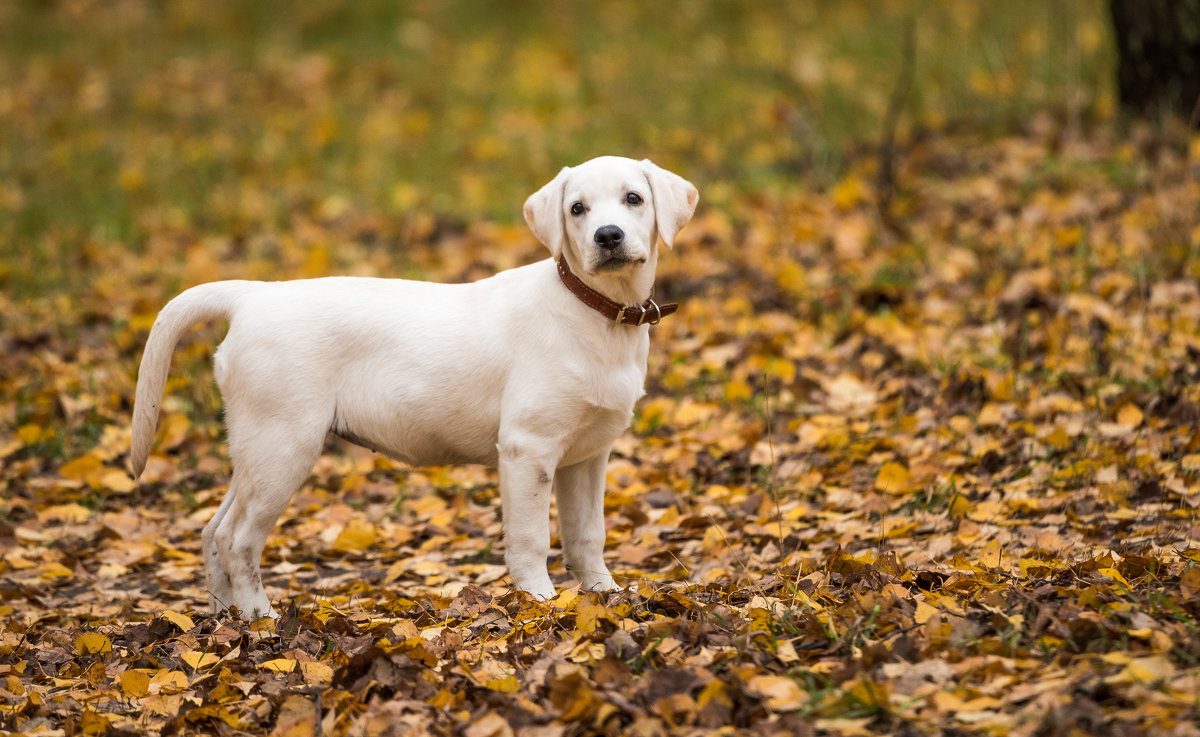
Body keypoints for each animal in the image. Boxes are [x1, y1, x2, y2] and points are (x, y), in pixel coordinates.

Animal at [127, 156, 700, 619]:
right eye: (577, 209)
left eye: (634, 198)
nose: (607, 236)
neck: (598, 313)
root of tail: (252, 296)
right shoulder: (527, 448)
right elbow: (531, 538)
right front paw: (539, 603)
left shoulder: (587, 454)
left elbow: (587, 535)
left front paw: (606, 597)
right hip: (282, 445)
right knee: (236, 538)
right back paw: (260, 620)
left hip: (255, 448)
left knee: (212, 531)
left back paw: (223, 621)